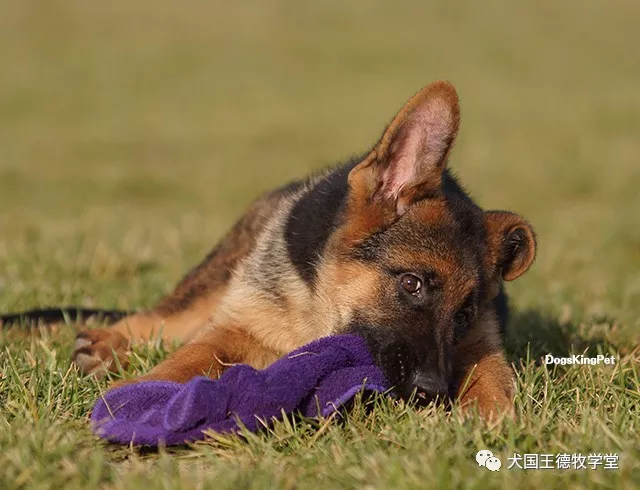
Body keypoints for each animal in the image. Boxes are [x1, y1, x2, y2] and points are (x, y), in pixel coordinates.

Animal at [3, 82, 536, 420]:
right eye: (412, 283)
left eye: (464, 314)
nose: (430, 394)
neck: (320, 310)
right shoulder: (238, 326)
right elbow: (189, 354)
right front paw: (132, 394)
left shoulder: (479, 342)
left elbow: (491, 375)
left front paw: (489, 423)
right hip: (215, 282)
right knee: (160, 319)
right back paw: (107, 345)